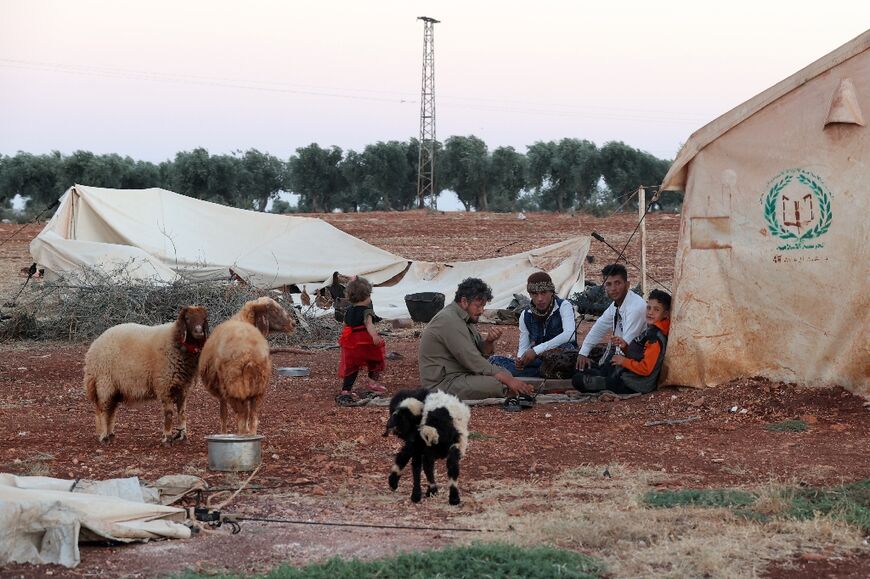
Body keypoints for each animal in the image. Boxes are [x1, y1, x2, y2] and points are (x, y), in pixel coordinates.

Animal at [83, 308, 209, 444]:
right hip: (104, 382)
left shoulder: (183, 387)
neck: (175, 341)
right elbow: (169, 413)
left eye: (203, 318)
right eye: (187, 318)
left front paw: (182, 436)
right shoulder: (164, 385)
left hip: (114, 387)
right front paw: (167, 438)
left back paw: (111, 435)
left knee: (111, 411)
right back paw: (104, 437)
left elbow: (182, 413)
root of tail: (94, 346)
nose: (199, 332)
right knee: (103, 410)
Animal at [198, 300, 296, 436]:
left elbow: (223, 415)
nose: (294, 324)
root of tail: (250, 355)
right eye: (273, 310)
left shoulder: (224, 391)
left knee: (242, 418)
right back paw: (251, 435)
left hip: (234, 388)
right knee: (253, 417)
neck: (244, 319)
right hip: (258, 389)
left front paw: (223, 433)